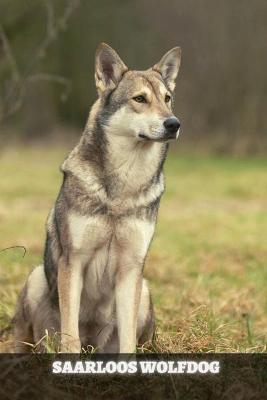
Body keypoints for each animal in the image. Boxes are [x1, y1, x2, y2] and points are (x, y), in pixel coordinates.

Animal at [13, 42, 182, 352]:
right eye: (140, 99)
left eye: (167, 99)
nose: (174, 123)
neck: (122, 186)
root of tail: (94, 347)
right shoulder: (73, 261)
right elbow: (70, 336)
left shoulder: (131, 268)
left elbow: (128, 342)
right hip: (36, 280)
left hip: (144, 289)